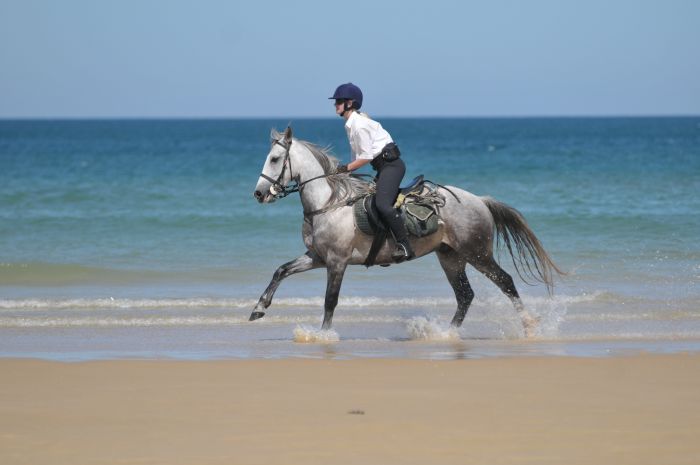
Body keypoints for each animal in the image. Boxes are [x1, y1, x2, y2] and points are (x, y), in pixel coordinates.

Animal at [252, 127, 564, 338]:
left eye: (276, 159)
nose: (259, 194)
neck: (328, 203)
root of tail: (480, 200)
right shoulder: (317, 257)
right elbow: (281, 270)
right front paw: (259, 308)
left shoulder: (337, 262)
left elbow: (330, 300)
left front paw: (324, 336)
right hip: (451, 257)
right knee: (465, 295)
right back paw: (445, 334)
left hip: (477, 253)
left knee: (505, 282)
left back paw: (529, 326)